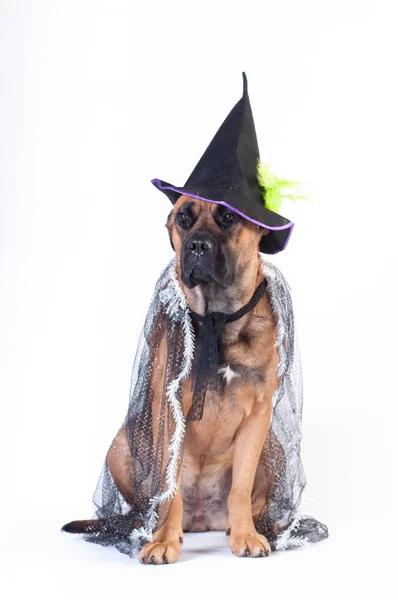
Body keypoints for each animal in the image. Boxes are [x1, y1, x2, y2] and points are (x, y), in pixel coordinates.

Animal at [62, 196, 280, 564]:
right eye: (183, 219)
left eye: (229, 216)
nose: (197, 246)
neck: (218, 319)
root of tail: (202, 518)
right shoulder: (169, 407)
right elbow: (170, 487)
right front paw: (163, 540)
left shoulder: (259, 414)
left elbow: (240, 485)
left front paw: (246, 535)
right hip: (122, 445)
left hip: (270, 449)